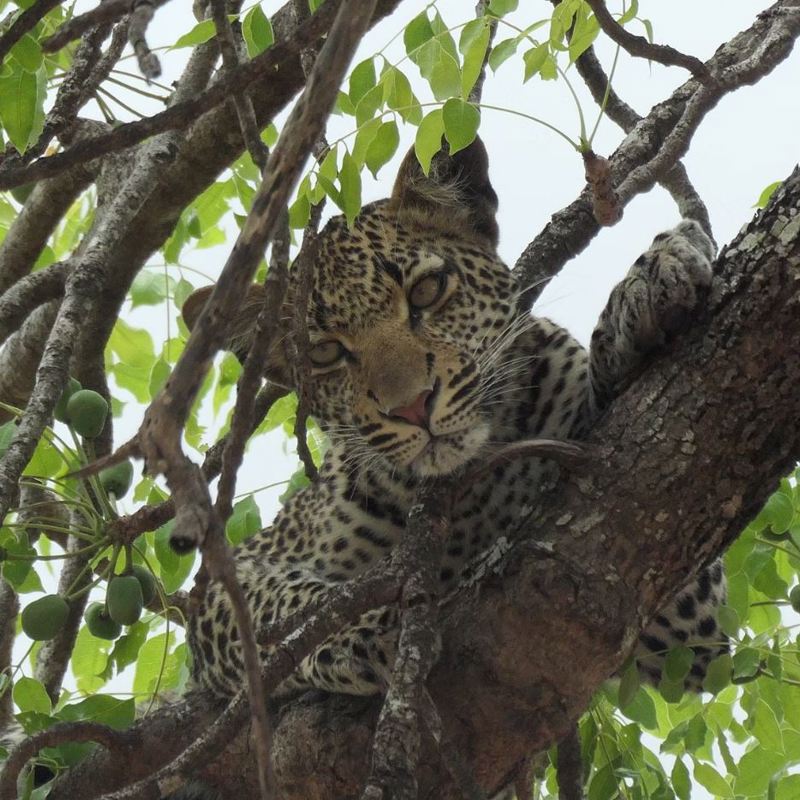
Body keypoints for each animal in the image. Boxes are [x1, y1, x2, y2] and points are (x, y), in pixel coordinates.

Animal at [182, 137, 728, 704]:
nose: (412, 407)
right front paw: (370, 629)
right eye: (325, 352)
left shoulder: (684, 622)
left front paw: (644, 285)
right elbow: (282, 605)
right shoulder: (229, 582)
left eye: (426, 290)